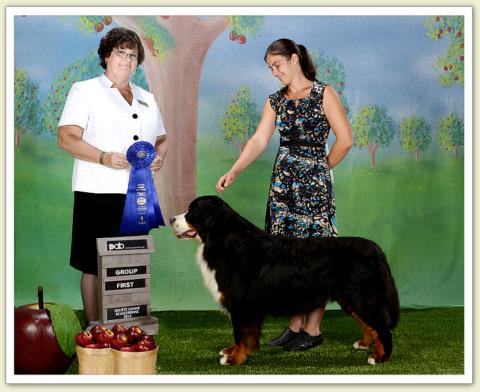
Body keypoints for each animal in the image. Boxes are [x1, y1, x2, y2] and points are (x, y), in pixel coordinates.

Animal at [171, 198, 400, 366]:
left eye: (191, 212)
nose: (172, 219)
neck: (223, 239)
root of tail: (376, 249)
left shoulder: (241, 304)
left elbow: (240, 334)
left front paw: (234, 358)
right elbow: (246, 334)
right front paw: (234, 351)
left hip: (363, 297)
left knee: (383, 328)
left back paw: (379, 357)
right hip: (350, 299)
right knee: (371, 326)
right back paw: (364, 344)